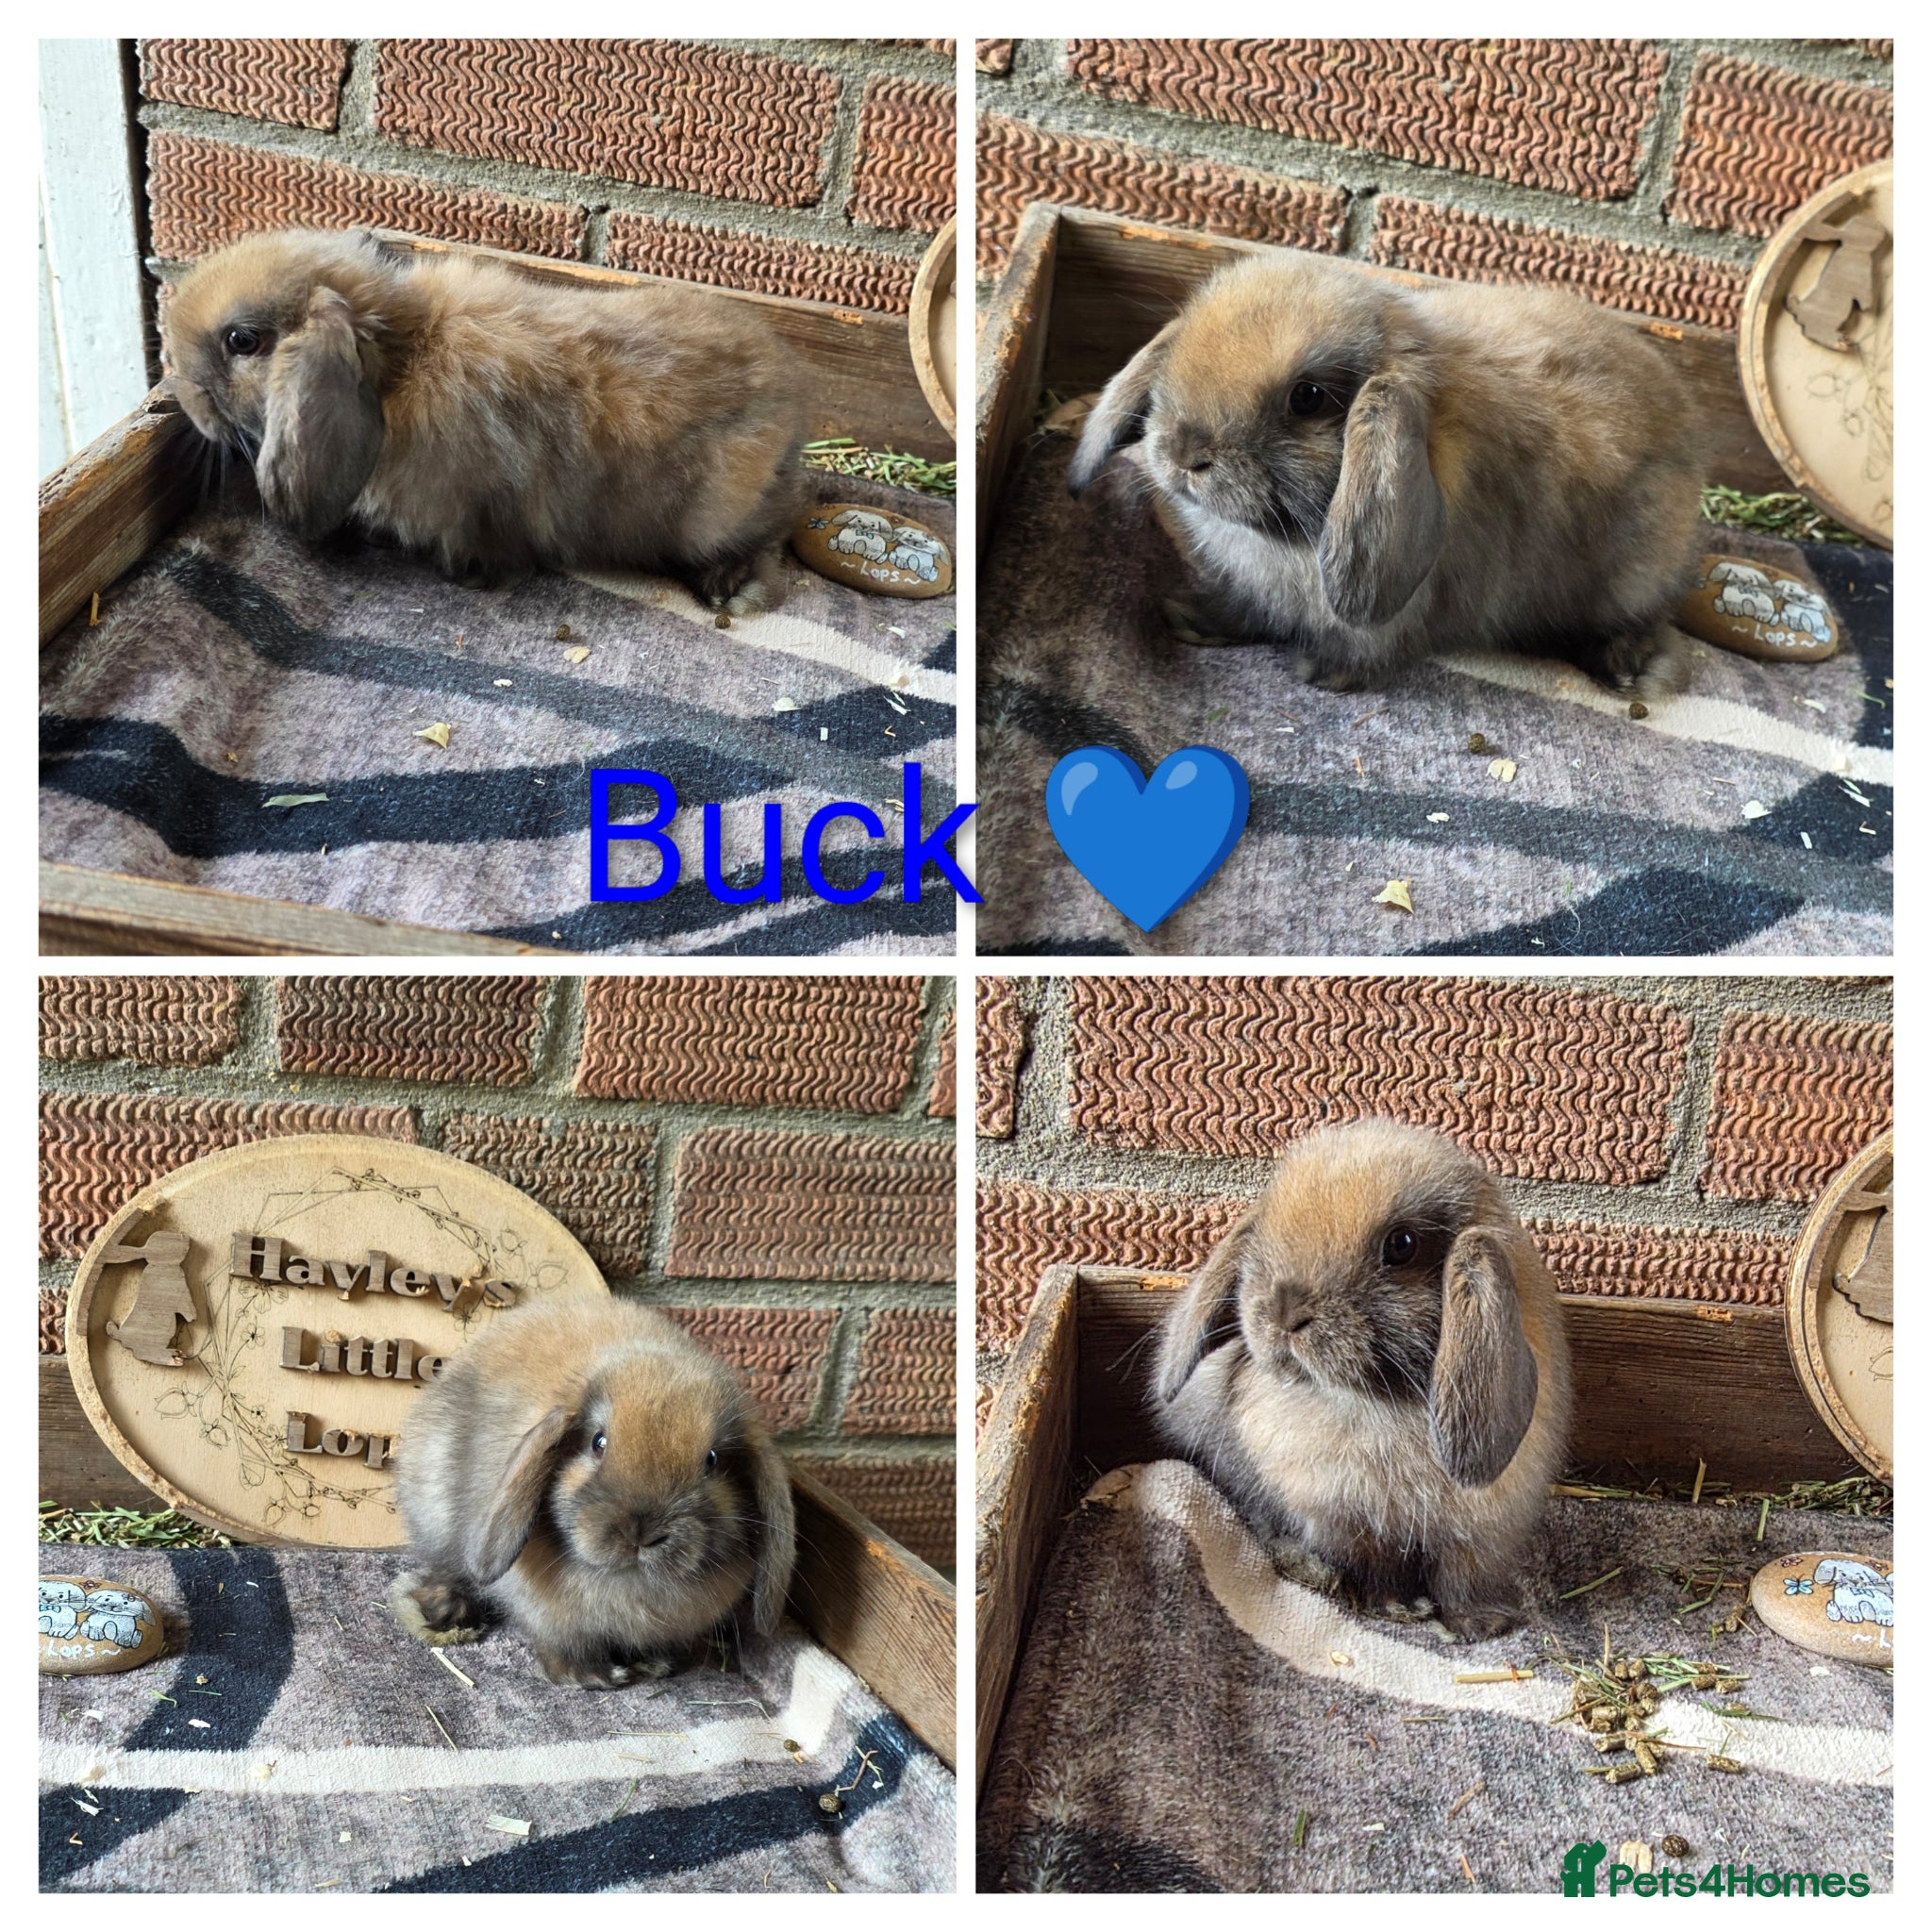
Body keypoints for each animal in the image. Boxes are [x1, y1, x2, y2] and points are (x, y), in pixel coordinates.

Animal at [161, 227, 805, 610]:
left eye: (242, 341)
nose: (183, 396)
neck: (400, 359)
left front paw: (466, 576)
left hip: (717, 516)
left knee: (775, 531)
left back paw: (728, 584)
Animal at [389, 1296, 796, 1688]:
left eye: (712, 1460)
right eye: (598, 1442)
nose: (640, 1533)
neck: (627, 1584)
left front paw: (651, 1664)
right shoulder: (546, 1616)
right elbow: (560, 1647)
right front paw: (592, 1676)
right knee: (446, 1570)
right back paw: (444, 1617)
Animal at [1069, 251, 1707, 693]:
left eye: (1307, 398)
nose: (1184, 455)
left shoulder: (1397, 611)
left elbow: (1367, 646)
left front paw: (1322, 671)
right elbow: (1247, 609)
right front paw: (1192, 618)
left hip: (1633, 578)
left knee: (1645, 618)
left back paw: (1624, 667)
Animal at [1152, 1120, 1572, 1640]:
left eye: (1402, 1245)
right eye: (1267, 1229)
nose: (1286, 1312)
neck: (1377, 1400)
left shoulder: (1482, 1535)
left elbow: (1462, 1578)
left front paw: (1482, 1623)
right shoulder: (1344, 1524)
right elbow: (1376, 1569)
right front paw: (1398, 1607)